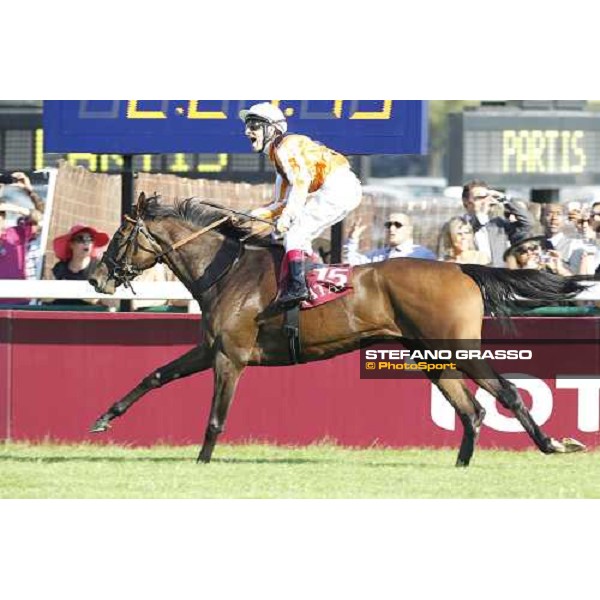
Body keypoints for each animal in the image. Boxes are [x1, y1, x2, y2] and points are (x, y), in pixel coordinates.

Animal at [89, 195, 584, 466]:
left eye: (120, 236)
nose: (97, 278)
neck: (226, 271)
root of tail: (461, 267)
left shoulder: (231, 356)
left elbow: (215, 418)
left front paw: (202, 461)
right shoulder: (210, 348)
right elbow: (155, 375)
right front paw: (104, 418)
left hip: (456, 348)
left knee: (507, 393)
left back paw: (552, 444)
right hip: (431, 356)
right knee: (473, 410)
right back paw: (461, 465)